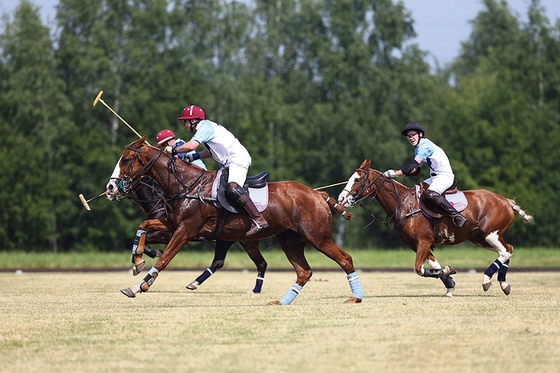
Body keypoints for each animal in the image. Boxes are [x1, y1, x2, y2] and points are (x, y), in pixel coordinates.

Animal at [107, 172, 270, 294]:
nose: (109, 191)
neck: (159, 202)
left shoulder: (168, 234)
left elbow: (147, 239)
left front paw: (144, 260)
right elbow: (144, 237)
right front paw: (141, 260)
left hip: (245, 242)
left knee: (258, 263)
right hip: (227, 239)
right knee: (221, 262)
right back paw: (194, 283)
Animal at [336, 159, 532, 296]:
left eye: (357, 179)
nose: (341, 200)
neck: (403, 203)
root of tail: (506, 201)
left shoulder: (424, 241)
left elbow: (419, 268)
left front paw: (449, 274)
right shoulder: (416, 244)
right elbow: (434, 265)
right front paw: (449, 283)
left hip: (490, 234)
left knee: (505, 251)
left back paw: (486, 280)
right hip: (480, 238)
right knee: (508, 249)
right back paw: (504, 284)